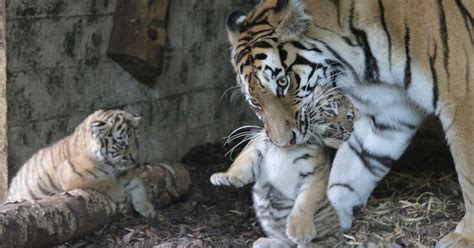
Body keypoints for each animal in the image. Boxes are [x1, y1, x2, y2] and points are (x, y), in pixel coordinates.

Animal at [226, 0, 474, 245]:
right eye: (255, 102)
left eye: (283, 82)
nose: (283, 143)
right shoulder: (389, 113)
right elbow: (356, 164)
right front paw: (324, 218)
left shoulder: (462, 101)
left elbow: (468, 178)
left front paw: (464, 237)